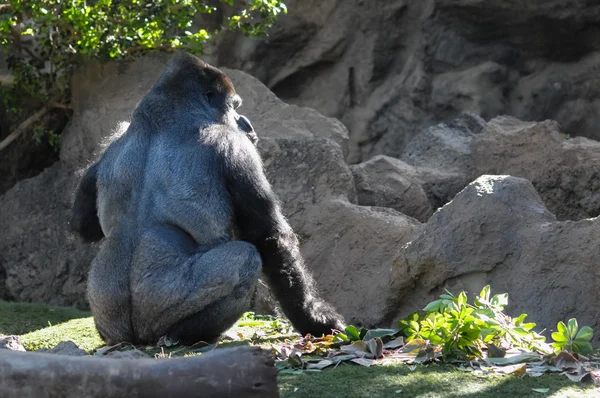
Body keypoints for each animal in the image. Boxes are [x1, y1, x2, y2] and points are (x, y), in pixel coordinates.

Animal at [69, 52, 342, 346]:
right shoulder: (235, 147)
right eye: (234, 107)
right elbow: (270, 237)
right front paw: (316, 320)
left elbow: (82, 226)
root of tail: (133, 336)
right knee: (246, 258)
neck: (164, 115)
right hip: (158, 307)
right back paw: (188, 334)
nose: (245, 122)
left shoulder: (112, 138)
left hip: (107, 317)